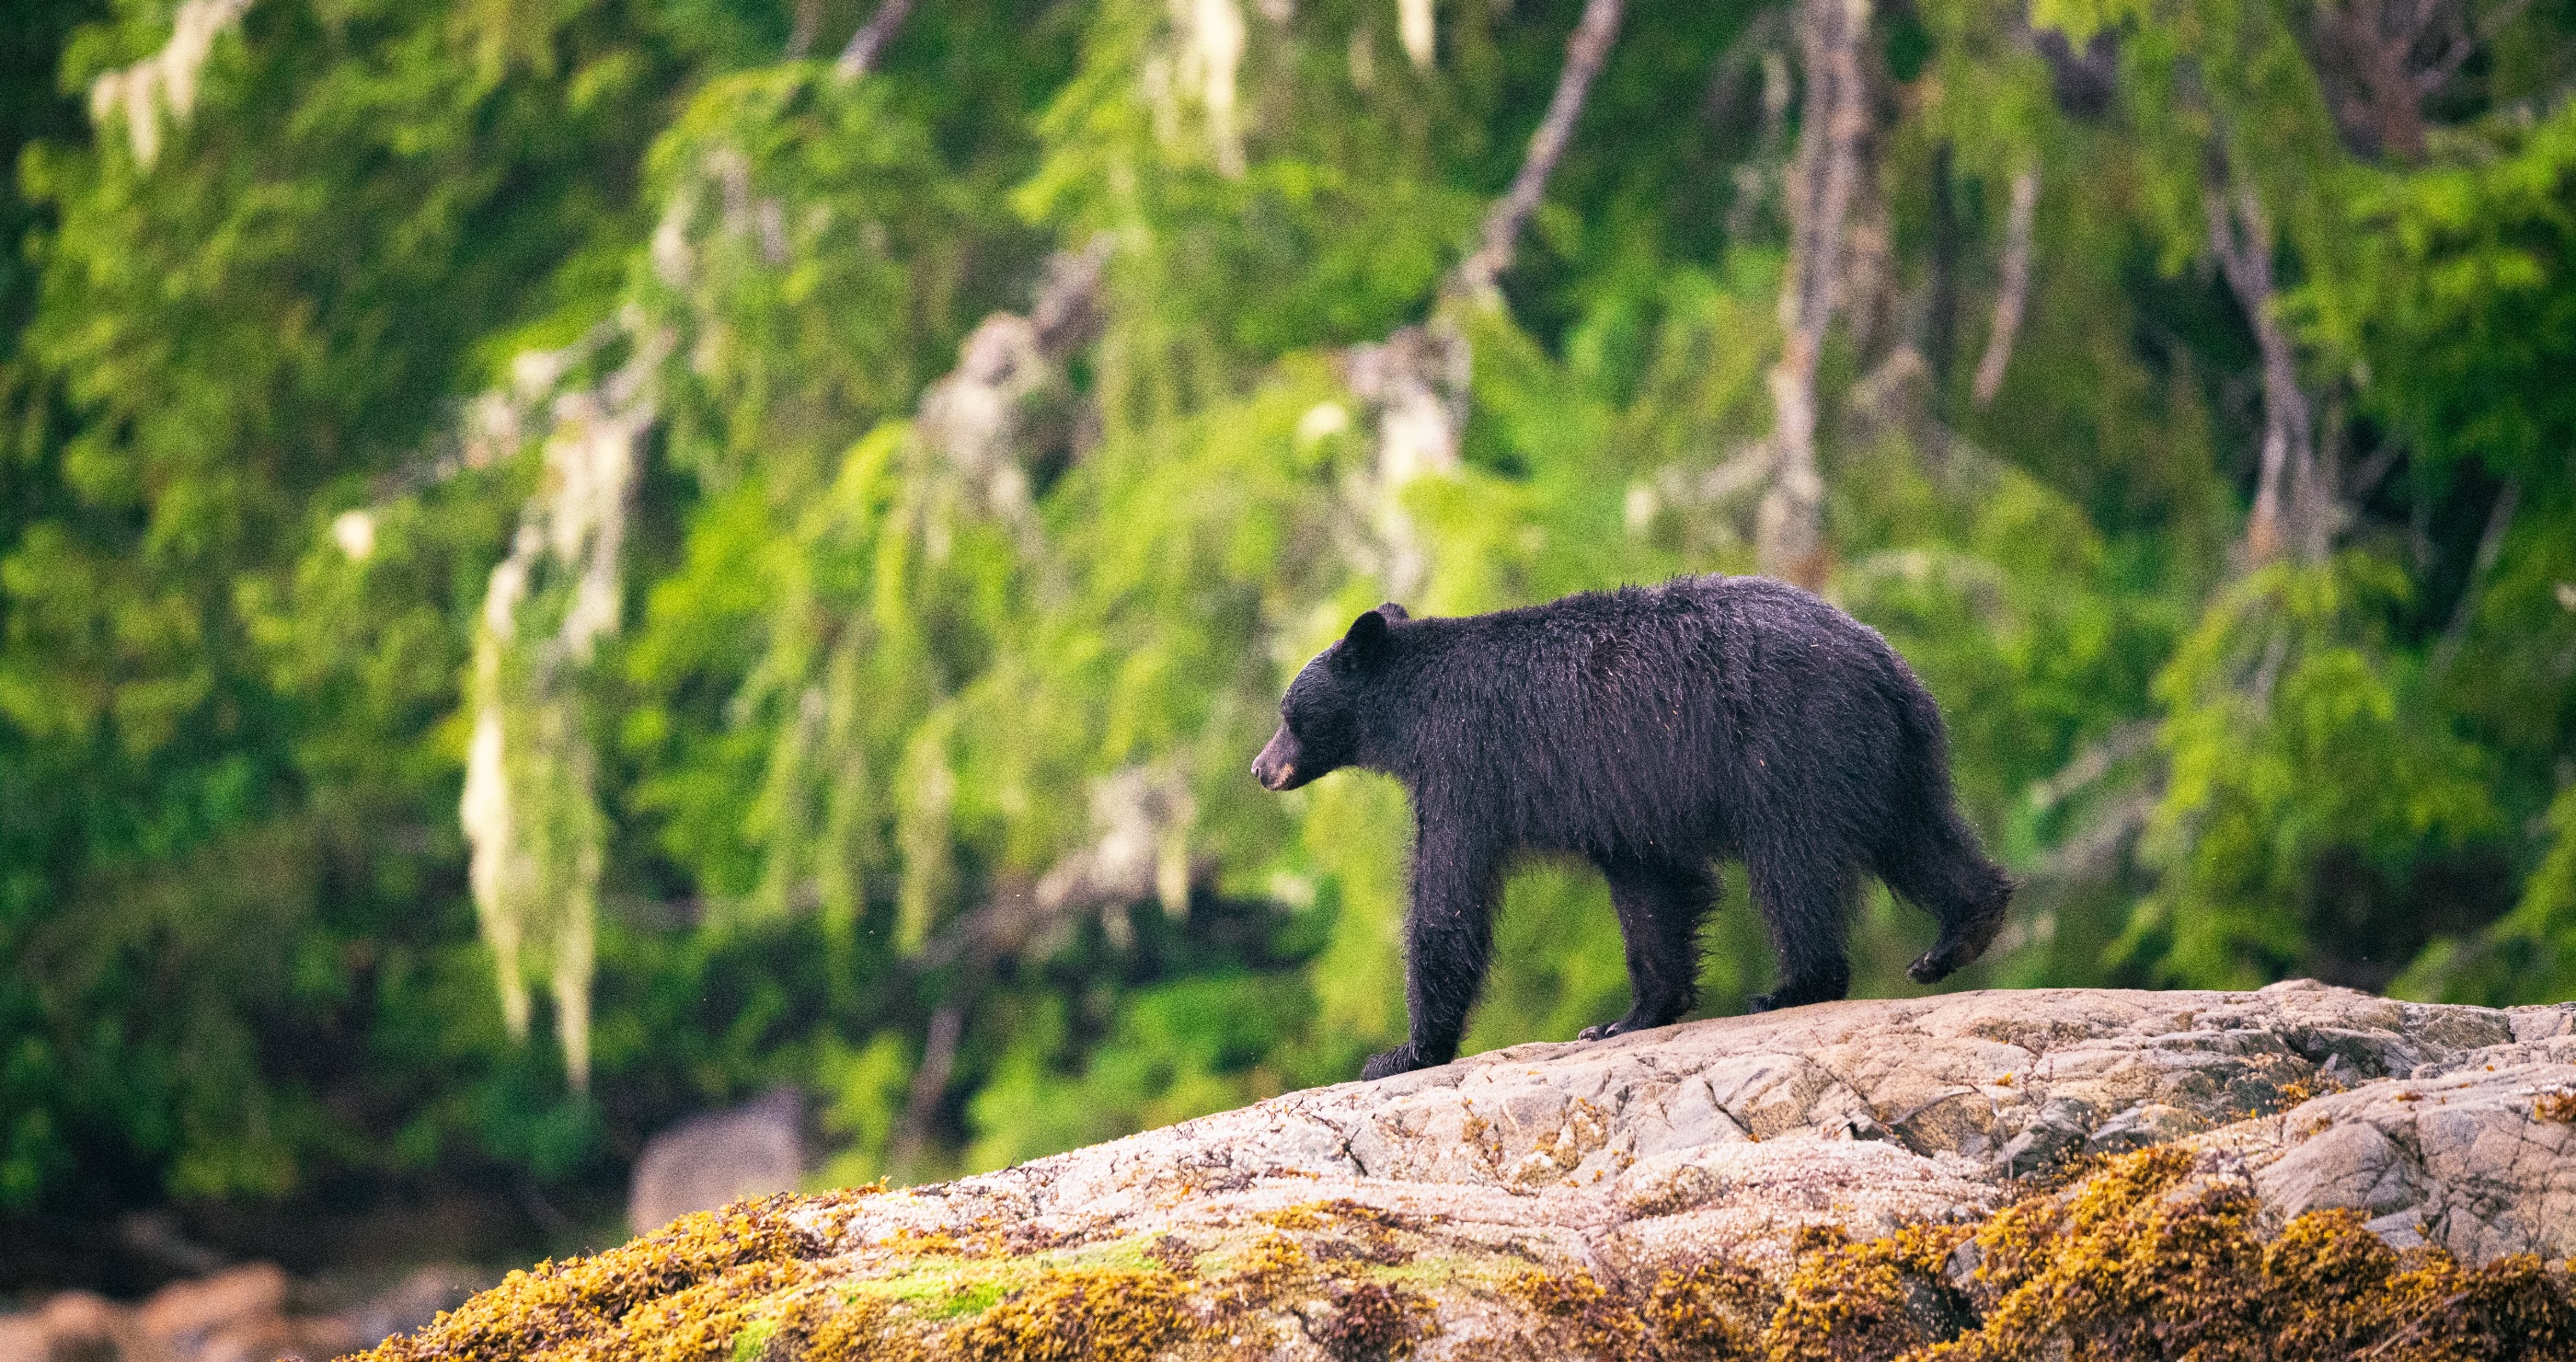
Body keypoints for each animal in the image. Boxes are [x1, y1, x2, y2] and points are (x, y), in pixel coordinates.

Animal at [1252, 575, 2013, 1081]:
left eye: (1290, 713)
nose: (1261, 769)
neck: (1412, 708)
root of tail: (1882, 660)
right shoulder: (1620, 798)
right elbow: (1650, 890)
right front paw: (1627, 1016)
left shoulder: (1467, 764)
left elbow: (1449, 899)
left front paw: (1403, 1052)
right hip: (1886, 754)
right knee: (1918, 837)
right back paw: (1960, 933)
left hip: (1792, 747)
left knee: (1795, 866)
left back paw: (1794, 984)